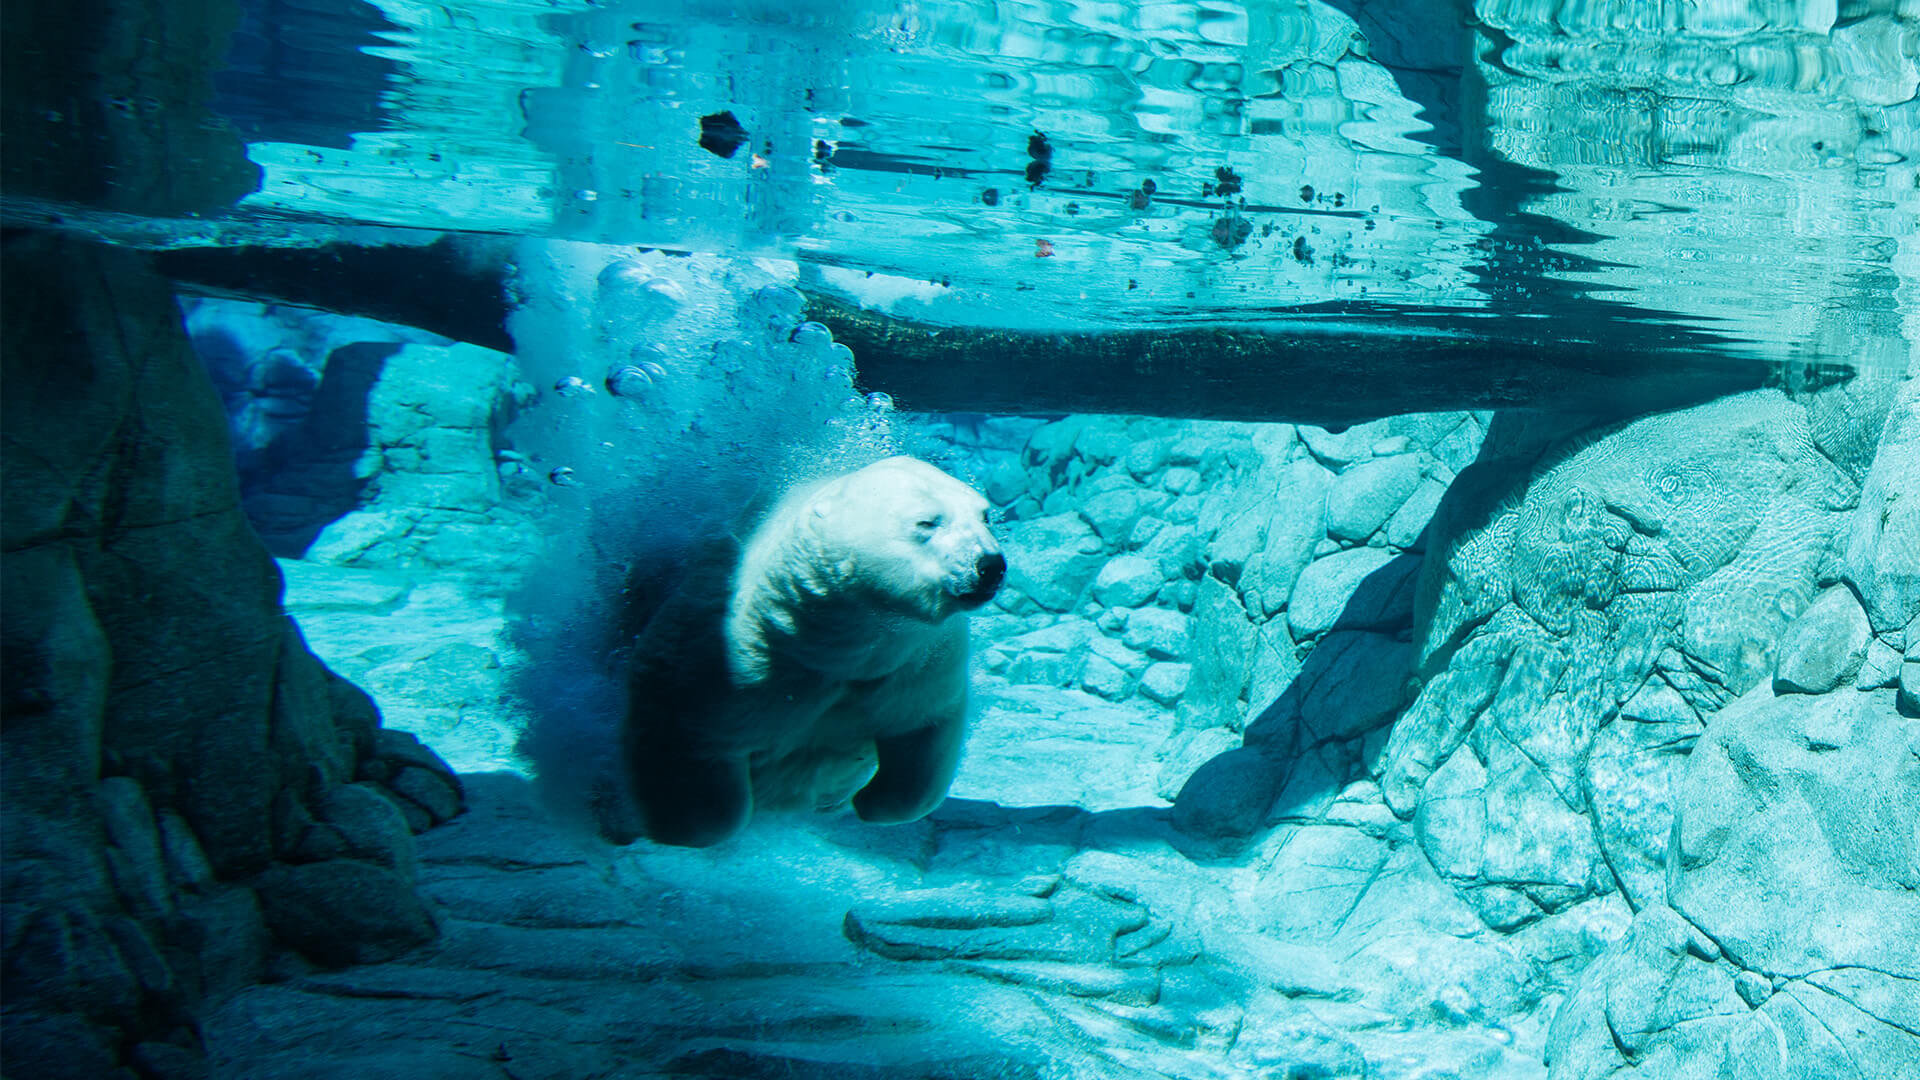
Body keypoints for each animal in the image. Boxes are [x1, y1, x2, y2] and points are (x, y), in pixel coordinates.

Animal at [619, 455, 1006, 847]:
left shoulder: (916, 667)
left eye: (985, 515)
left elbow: (923, 737)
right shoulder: (725, 659)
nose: (989, 565)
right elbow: (694, 742)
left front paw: (864, 801)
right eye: (927, 521)